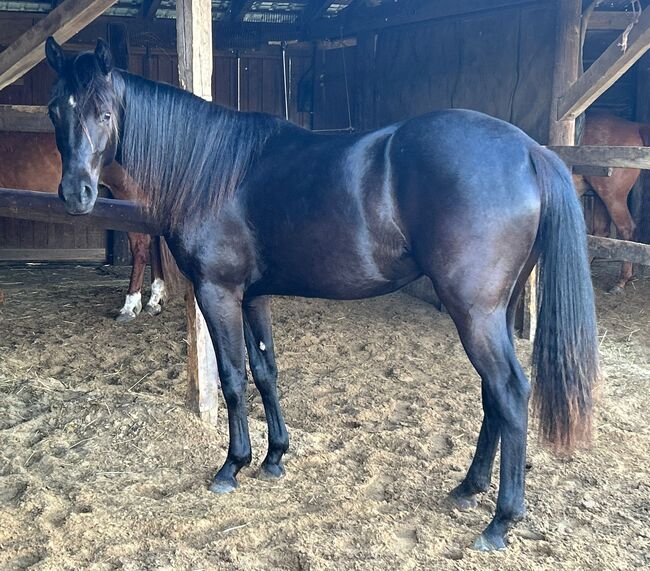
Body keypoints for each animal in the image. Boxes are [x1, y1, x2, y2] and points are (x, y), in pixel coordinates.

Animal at [44, 38, 596, 552]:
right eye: (54, 109)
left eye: (104, 112)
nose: (76, 195)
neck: (212, 171)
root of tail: (528, 150)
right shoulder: (254, 297)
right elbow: (265, 370)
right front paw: (274, 457)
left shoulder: (217, 292)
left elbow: (233, 378)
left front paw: (232, 466)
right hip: (495, 310)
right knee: (492, 395)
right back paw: (468, 488)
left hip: (474, 312)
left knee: (510, 391)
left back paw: (500, 520)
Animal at [576, 111, 644, 292]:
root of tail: (634, 127)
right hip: (601, 197)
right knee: (601, 233)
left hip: (612, 198)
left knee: (626, 230)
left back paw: (621, 280)